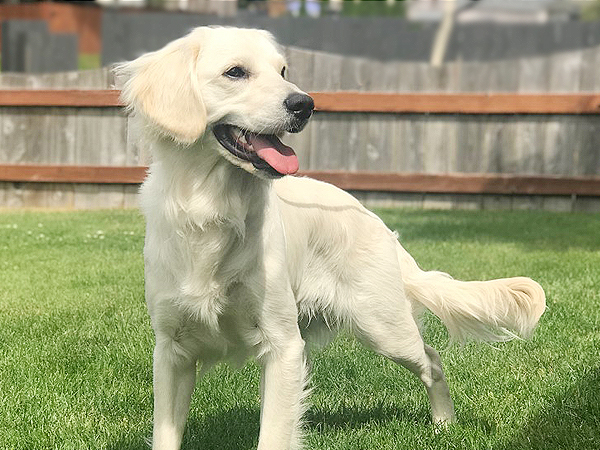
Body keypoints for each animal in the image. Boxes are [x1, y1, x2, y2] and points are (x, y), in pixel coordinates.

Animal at [116, 27, 544, 450]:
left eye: (283, 71)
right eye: (235, 72)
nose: (304, 104)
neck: (214, 212)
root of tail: (373, 219)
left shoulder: (283, 346)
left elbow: (274, 435)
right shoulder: (172, 351)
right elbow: (166, 433)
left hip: (384, 327)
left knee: (432, 360)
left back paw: (444, 425)